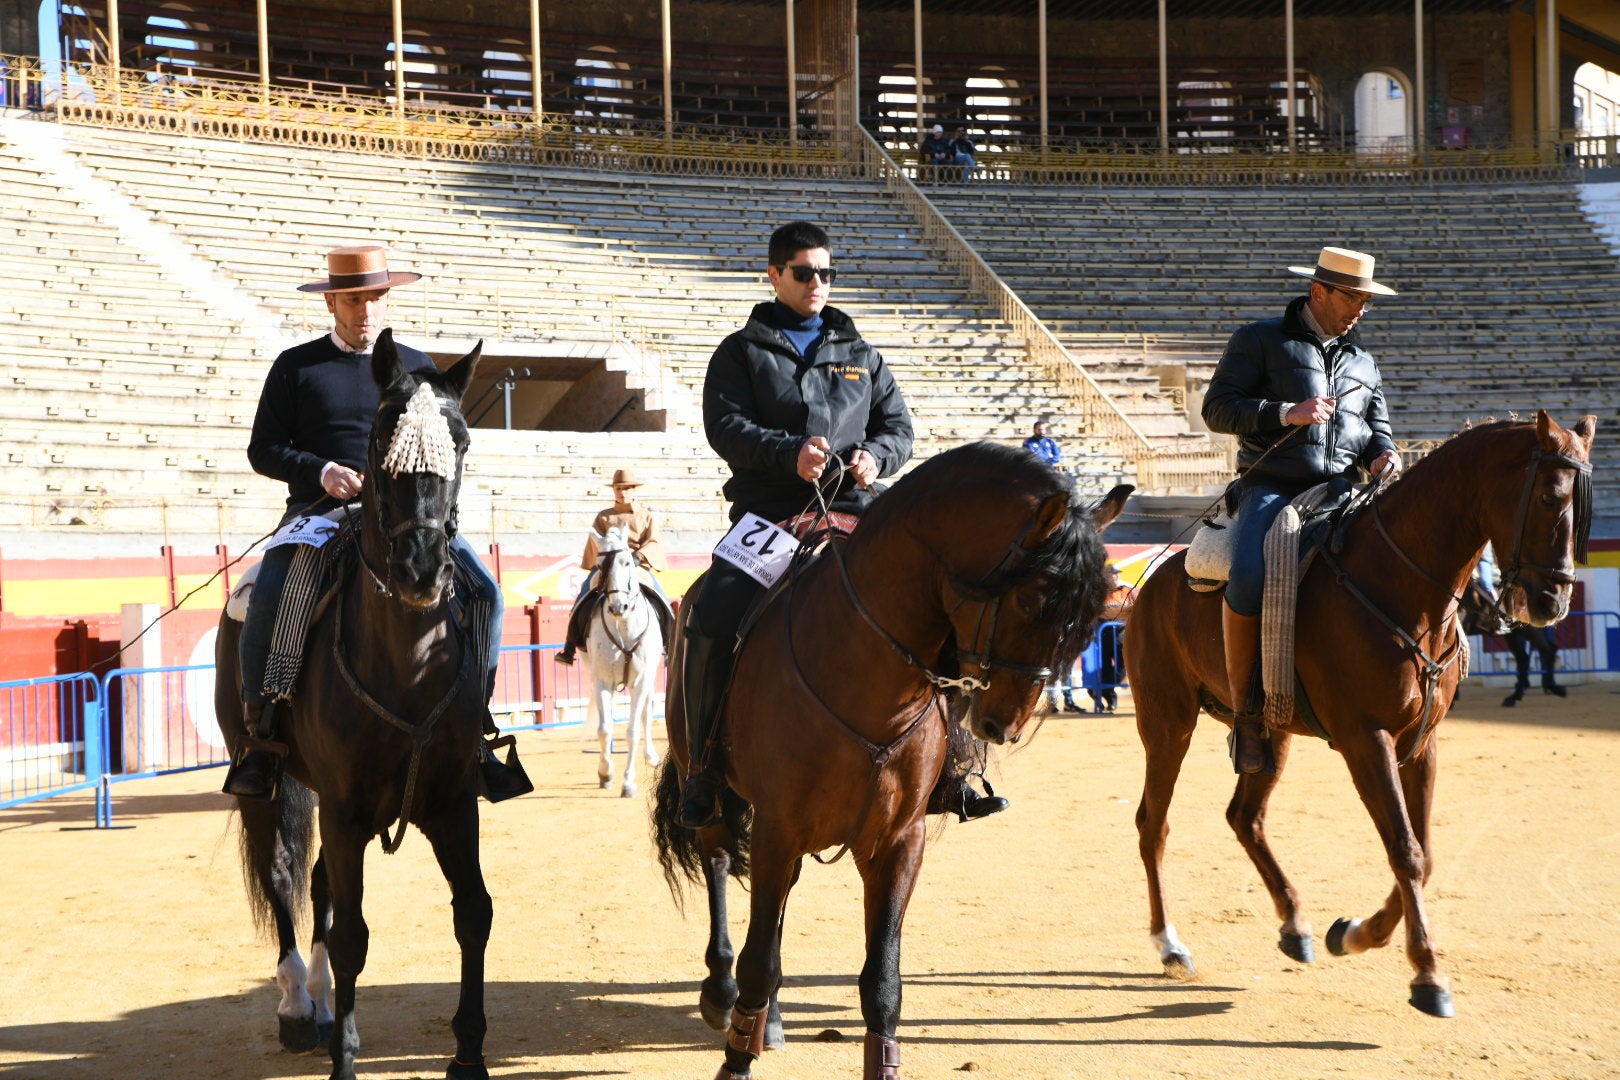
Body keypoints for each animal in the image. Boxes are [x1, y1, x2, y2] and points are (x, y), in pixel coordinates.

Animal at [215, 331, 495, 1080]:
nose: (422, 567)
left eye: (461, 439)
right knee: (284, 871)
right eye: (377, 438)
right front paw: (343, 1056)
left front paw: (469, 1054)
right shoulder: (342, 809)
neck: (407, 663)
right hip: (266, 777)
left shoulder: (451, 800)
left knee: (320, 886)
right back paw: (295, 1006)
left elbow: (473, 913)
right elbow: (352, 939)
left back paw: (312, 997)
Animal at [583, 527, 664, 799]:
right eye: (600, 565)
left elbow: (633, 731)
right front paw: (605, 773)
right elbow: (604, 728)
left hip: (650, 678)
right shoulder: (601, 681)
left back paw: (651, 756)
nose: (619, 606)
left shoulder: (640, 682)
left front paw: (628, 783)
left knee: (647, 713)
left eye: (627, 562)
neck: (624, 625)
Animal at [648, 440, 1127, 1080]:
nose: (1005, 722)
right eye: (1032, 596)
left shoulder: (898, 840)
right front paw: (736, 1058)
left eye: (1092, 612)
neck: (862, 673)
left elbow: (882, 980)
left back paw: (770, 1019)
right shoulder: (777, 828)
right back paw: (723, 995)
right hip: (716, 797)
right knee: (722, 867)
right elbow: (758, 959)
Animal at [1127, 409, 1594, 1016]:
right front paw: (1427, 975)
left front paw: (1352, 933)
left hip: (1270, 734)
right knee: (1153, 825)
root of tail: (1152, 581)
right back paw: (1170, 944)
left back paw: (1295, 925)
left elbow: (1423, 855)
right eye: (1548, 496)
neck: (1399, 586)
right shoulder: (1366, 740)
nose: (1551, 602)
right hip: (1168, 725)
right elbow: (1405, 850)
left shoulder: (1421, 743)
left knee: (1244, 817)